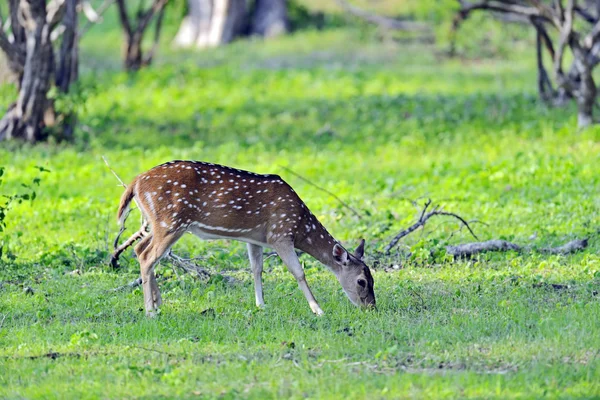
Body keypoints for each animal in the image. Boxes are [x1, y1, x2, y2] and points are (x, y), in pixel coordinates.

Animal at [117, 159, 376, 316]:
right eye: (361, 281)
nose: (371, 307)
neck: (301, 225)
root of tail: (135, 183)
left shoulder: (254, 238)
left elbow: (256, 269)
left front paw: (261, 305)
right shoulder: (280, 233)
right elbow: (298, 272)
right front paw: (318, 309)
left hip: (158, 223)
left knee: (140, 250)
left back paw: (158, 304)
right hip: (170, 222)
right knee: (148, 257)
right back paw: (150, 311)